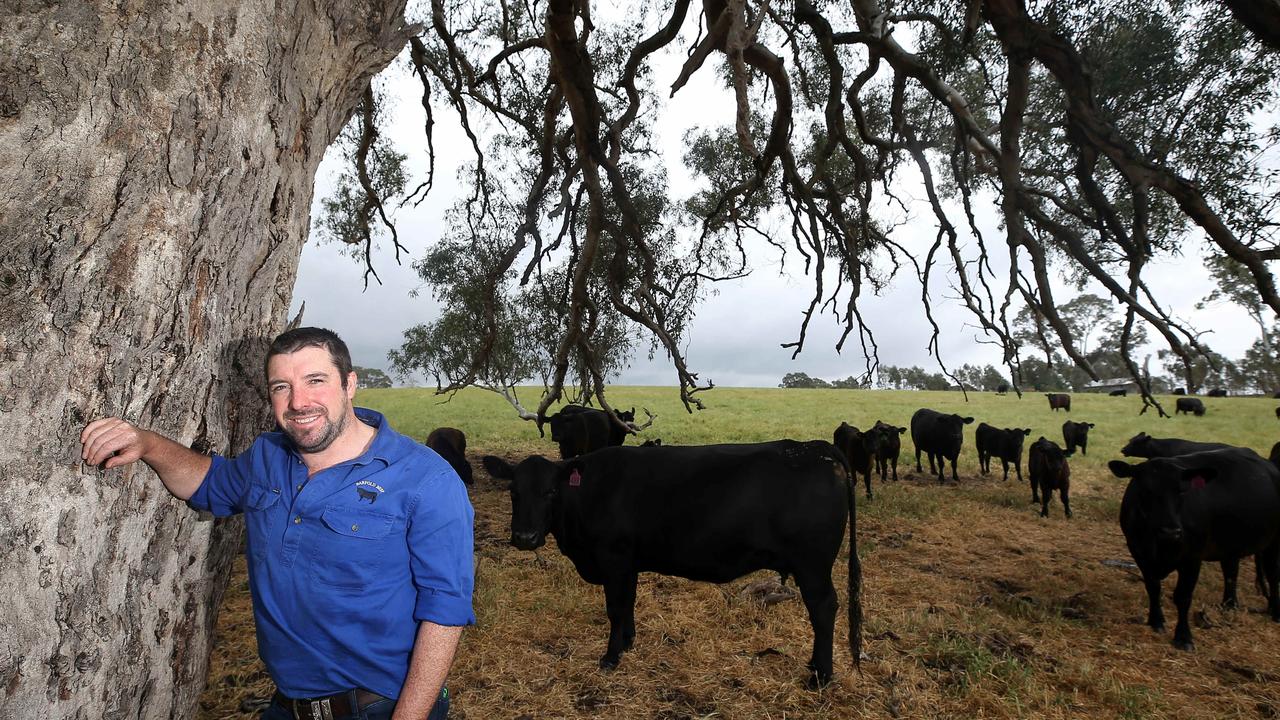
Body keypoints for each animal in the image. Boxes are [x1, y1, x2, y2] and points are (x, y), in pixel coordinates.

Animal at [481, 440, 860, 686]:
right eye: (513, 491)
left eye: (551, 492)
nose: (525, 537)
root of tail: (815, 447)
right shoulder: (628, 563)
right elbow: (628, 604)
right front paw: (628, 643)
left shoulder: (613, 558)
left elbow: (615, 608)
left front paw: (611, 657)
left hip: (813, 565)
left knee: (824, 608)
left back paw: (821, 676)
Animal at [1111, 448, 1280, 645]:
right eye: (1145, 490)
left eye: (1182, 491)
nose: (1170, 532)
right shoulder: (1139, 553)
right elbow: (1153, 588)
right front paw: (1156, 620)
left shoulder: (1192, 557)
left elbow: (1183, 596)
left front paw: (1183, 637)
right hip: (1230, 543)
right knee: (1231, 571)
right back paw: (1229, 605)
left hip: (1274, 541)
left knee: (1273, 574)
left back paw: (1275, 611)